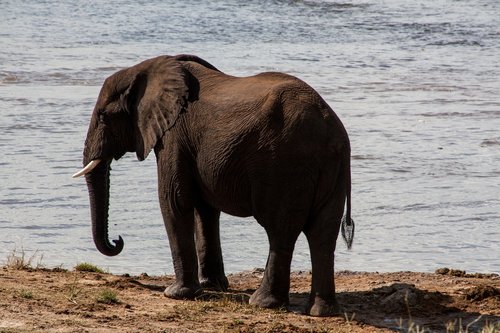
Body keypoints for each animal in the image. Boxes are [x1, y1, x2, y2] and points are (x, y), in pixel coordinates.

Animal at [73, 53, 356, 316]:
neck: (147, 69)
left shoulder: (175, 136)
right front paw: (213, 286)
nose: (118, 240)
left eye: (103, 116)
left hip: (285, 166)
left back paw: (263, 303)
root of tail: (333, 131)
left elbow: (173, 200)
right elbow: (205, 209)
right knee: (322, 233)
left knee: (280, 231)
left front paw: (176, 294)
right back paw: (323, 311)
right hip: (328, 170)